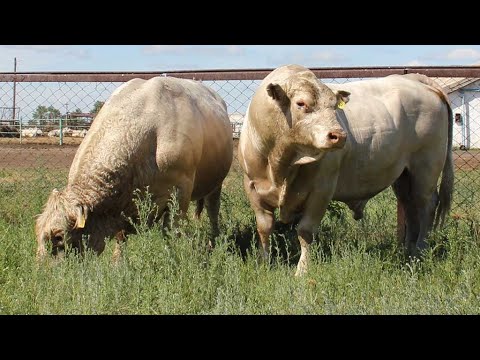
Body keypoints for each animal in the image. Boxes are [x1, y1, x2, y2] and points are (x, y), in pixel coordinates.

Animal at [34, 77, 233, 260]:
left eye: (59, 237)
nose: (41, 271)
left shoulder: (181, 191)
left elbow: (171, 231)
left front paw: (173, 257)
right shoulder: (122, 203)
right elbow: (121, 236)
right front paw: (118, 263)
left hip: (216, 184)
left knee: (213, 210)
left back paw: (214, 241)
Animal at [240, 64, 454, 278]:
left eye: (334, 106)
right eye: (300, 103)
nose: (339, 135)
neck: (281, 162)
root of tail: (416, 80)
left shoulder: (321, 190)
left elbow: (305, 231)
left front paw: (302, 271)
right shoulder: (253, 188)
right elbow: (264, 228)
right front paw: (263, 263)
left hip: (426, 167)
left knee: (426, 206)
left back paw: (419, 250)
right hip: (404, 176)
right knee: (409, 206)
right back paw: (407, 251)